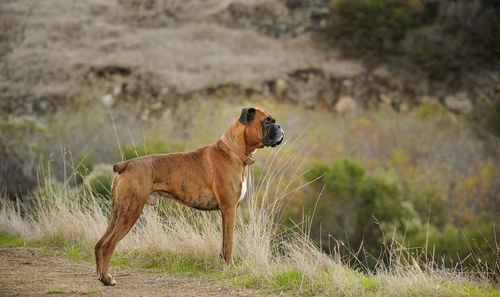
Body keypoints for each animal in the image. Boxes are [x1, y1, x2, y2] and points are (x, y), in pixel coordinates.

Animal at [93, 106, 282, 284]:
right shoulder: (229, 209)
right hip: (131, 211)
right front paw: (231, 269)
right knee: (108, 245)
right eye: (266, 122)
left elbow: (224, 244)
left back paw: (101, 276)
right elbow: (229, 244)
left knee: (100, 244)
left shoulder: (229, 210)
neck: (234, 152)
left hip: (118, 212)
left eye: (273, 121)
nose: (279, 126)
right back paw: (107, 278)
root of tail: (126, 165)